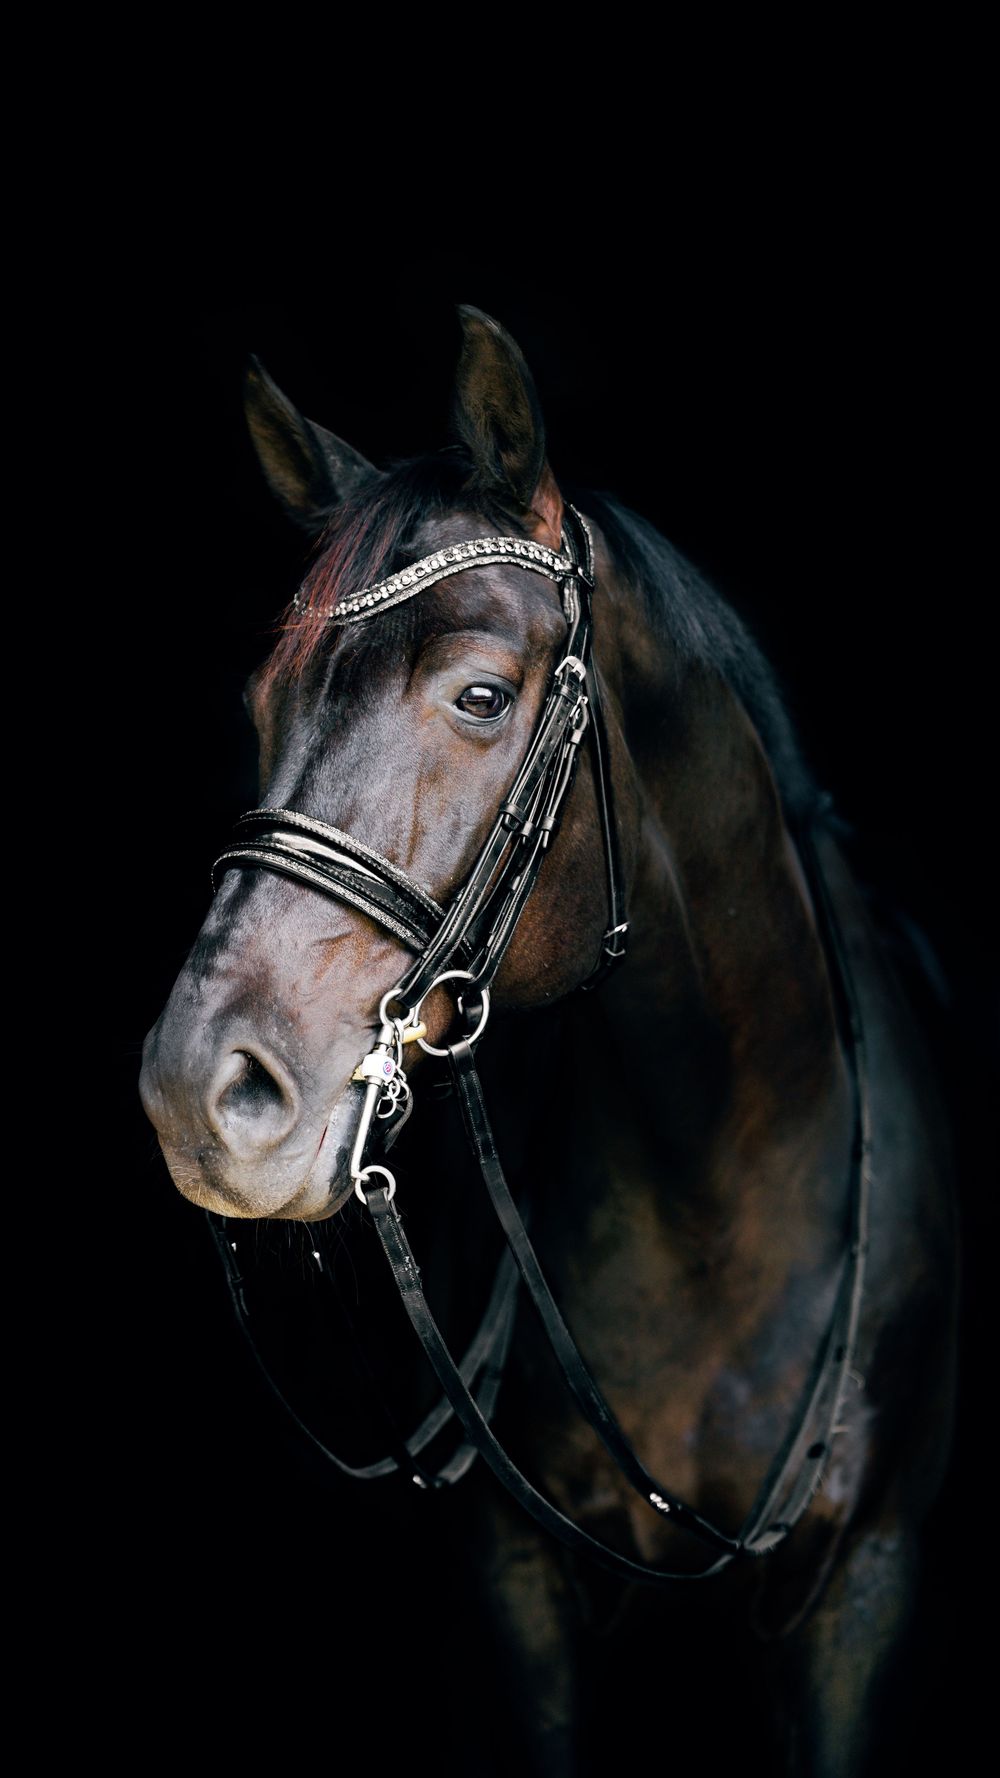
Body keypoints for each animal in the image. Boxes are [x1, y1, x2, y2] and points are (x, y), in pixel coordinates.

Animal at [139, 305, 958, 1775]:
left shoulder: (867, 1584)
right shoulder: (518, 1583)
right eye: (258, 702)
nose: (193, 1092)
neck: (715, 1191)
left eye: (477, 695)